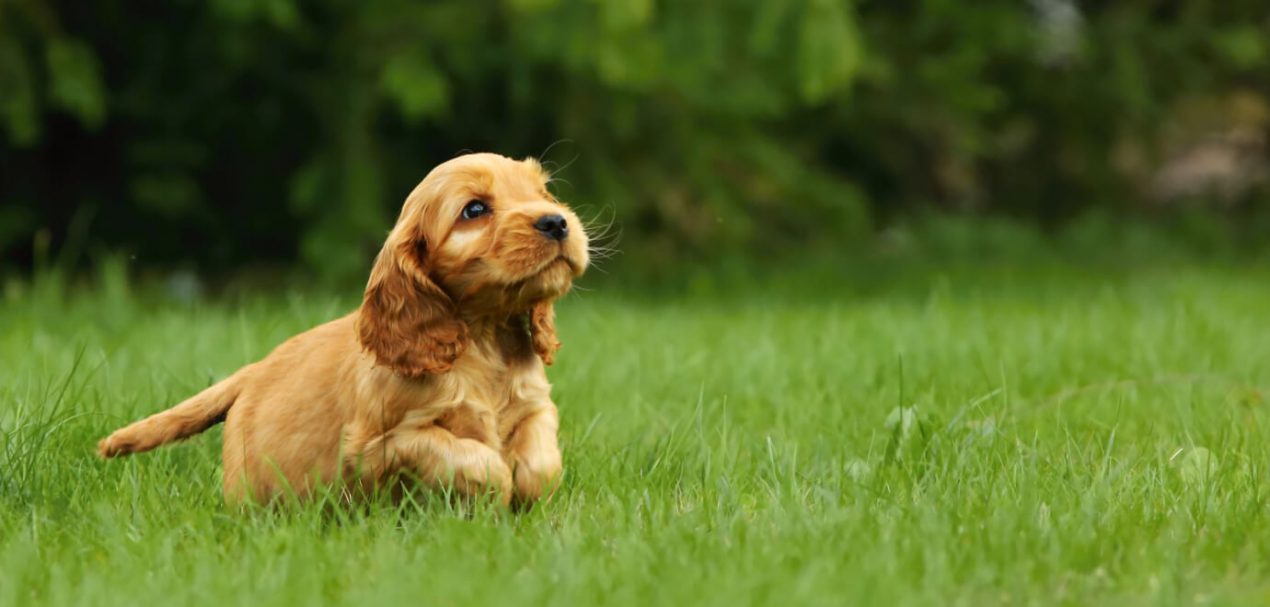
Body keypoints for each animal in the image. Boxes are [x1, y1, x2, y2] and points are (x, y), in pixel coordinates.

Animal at [99, 153, 589, 507]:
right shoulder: (383, 445)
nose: (556, 221)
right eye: (474, 210)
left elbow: (541, 459)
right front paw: (498, 485)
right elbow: (466, 455)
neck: (482, 338)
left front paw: (528, 492)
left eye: (542, 192)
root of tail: (252, 372)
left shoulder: (535, 405)